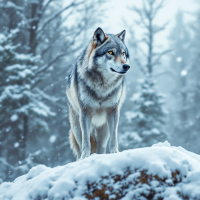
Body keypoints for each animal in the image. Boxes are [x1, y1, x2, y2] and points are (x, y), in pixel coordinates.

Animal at [66, 27, 130, 160]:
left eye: (123, 53)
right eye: (110, 52)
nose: (126, 66)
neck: (103, 86)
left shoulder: (113, 111)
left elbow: (114, 138)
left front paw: (115, 153)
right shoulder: (85, 112)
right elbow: (86, 141)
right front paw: (85, 158)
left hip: (103, 130)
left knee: (101, 146)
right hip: (76, 128)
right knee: (80, 145)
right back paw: (80, 159)